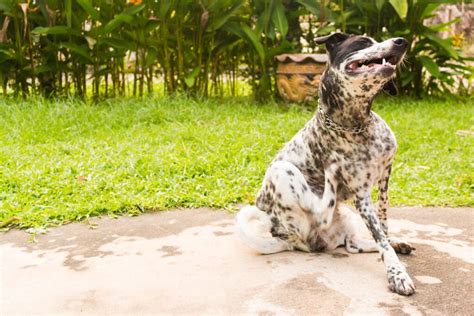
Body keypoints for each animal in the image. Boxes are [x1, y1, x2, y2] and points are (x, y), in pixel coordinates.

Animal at [236, 34, 414, 296]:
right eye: (363, 42)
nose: (401, 41)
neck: (359, 125)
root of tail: (285, 238)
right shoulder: (361, 194)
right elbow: (380, 237)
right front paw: (397, 274)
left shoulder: (384, 177)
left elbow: (382, 226)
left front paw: (392, 245)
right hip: (283, 172)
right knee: (321, 211)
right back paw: (331, 174)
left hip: (346, 216)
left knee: (352, 245)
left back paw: (393, 243)